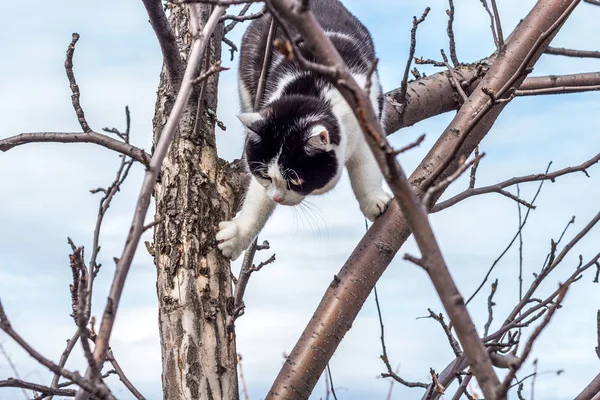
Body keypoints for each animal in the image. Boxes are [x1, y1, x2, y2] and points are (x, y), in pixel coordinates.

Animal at [218, 0, 392, 260]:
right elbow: (256, 203)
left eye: (296, 179)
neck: (313, 90)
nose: (277, 197)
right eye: (265, 176)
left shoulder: (367, 118)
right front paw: (237, 236)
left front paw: (375, 202)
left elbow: (367, 168)